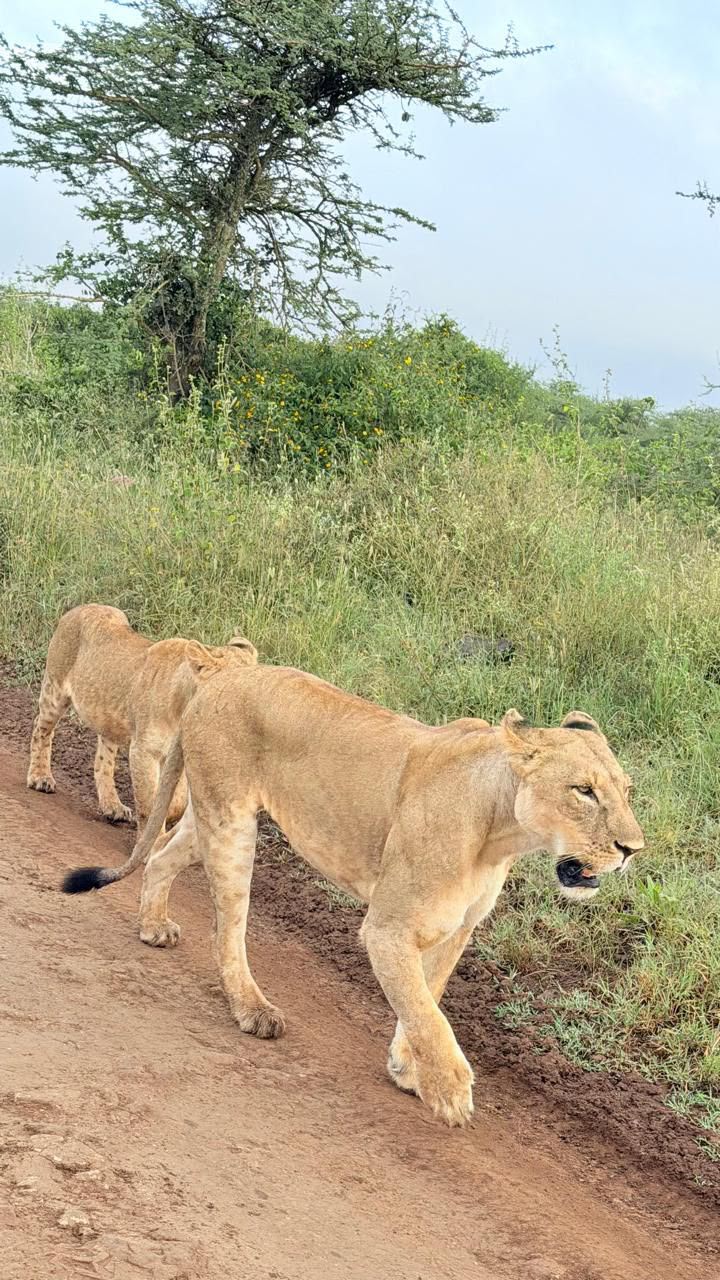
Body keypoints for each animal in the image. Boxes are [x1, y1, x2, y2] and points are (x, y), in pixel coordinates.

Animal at [28, 603, 257, 829]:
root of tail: (80, 607)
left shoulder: (178, 759)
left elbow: (178, 801)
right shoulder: (144, 751)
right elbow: (149, 804)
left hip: (108, 716)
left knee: (104, 758)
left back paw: (113, 806)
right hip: (54, 691)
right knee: (41, 728)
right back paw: (40, 777)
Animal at [63, 663, 643, 1127]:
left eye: (626, 791)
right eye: (583, 791)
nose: (631, 849)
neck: (501, 832)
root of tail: (220, 678)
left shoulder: (456, 928)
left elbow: (426, 996)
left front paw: (407, 1068)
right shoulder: (387, 928)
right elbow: (427, 1012)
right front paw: (451, 1090)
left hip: (209, 816)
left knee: (161, 853)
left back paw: (153, 926)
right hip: (232, 826)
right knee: (229, 925)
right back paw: (252, 1008)